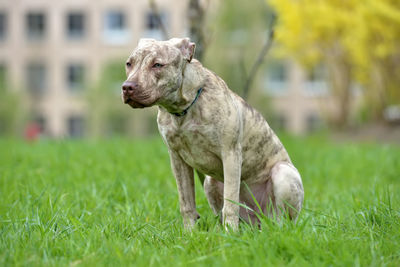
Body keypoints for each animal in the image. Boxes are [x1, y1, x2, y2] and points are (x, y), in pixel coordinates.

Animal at [121, 37, 304, 230]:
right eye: (129, 63)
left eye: (157, 65)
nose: (127, 87)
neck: (184, 110)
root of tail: (259, 221)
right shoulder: (177, 159)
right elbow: (186, 203)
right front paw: (190, 233)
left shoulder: (230, 154)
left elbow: (231, 203)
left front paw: (230, 234)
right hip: (211, 183)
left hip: (283, 174)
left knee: (280, 219)